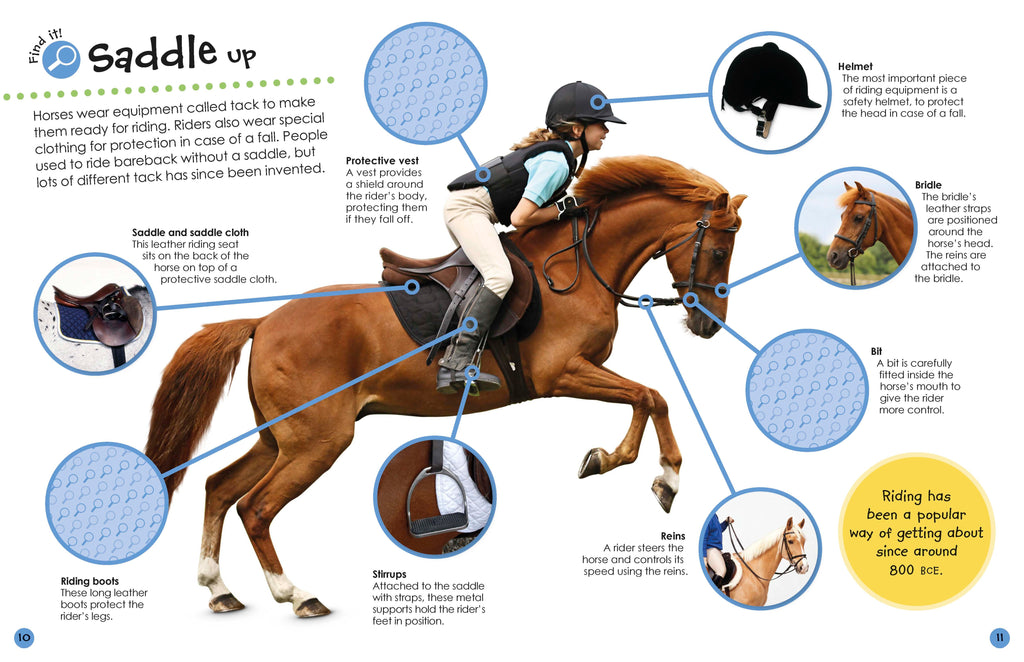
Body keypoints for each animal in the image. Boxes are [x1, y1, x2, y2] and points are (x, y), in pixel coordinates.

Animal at [144, 155, 747, 617]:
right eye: (719, 251)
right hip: (317, 440)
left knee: (219, 487)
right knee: (255, 507)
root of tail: (263, 320)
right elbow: (651, 394)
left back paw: (220, 591)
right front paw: (661, 477)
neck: (578, 265)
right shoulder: (561, 373)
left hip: (280, 437)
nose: (709, 325)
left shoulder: (580, 372)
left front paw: (612, 461)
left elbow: (649, 397)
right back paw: (297, 595)